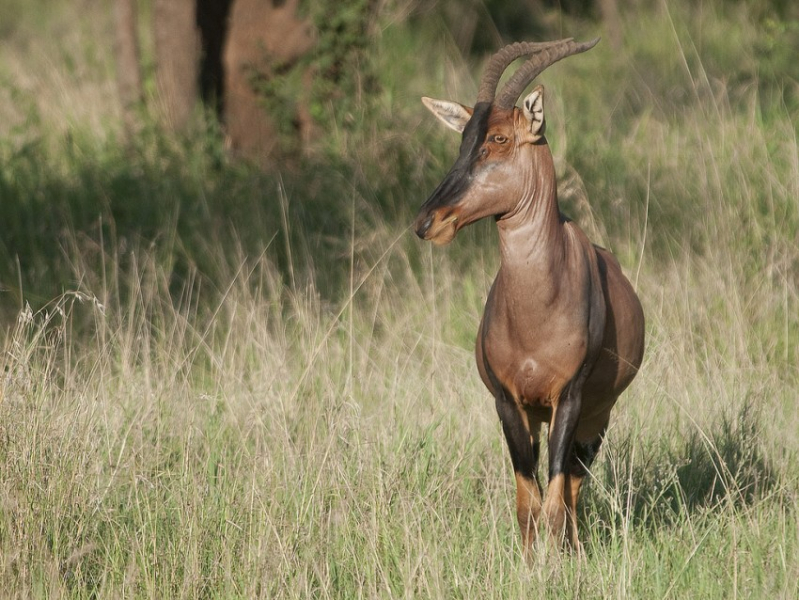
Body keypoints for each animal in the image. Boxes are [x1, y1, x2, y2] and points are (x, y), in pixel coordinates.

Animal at [416, 37, 648, 556]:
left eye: (500, 139)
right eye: (464, 140)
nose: (428, 221)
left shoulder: (570, 398)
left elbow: (556, 499)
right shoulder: (508, 403)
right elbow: (528, 501)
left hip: (595, 418)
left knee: (574, 486)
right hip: (539, 416)